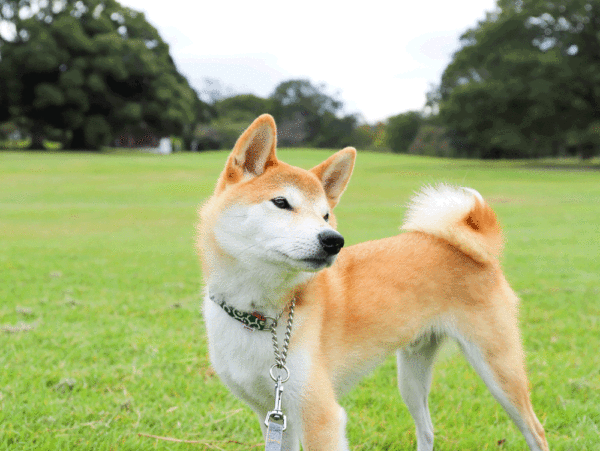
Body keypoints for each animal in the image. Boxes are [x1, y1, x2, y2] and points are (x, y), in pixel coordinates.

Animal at [198, 115, 548, 450]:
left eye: (325, 215)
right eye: (281, 203)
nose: (334, 241)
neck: (258, 314)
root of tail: (470, 249)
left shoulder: (320, 415)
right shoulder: (274, 414)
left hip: (498, 368)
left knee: (536, 431)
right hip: (411, 376)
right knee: (428, 431)